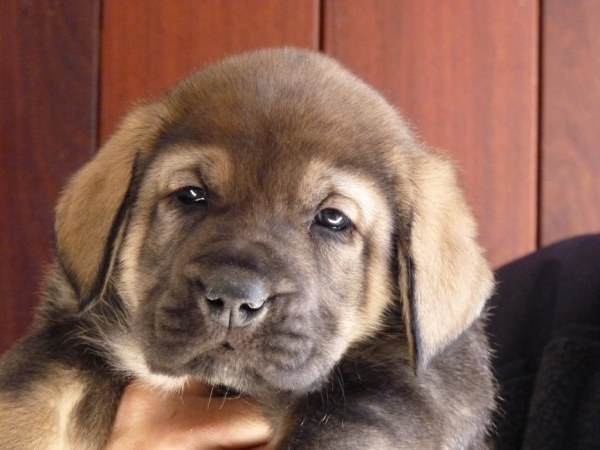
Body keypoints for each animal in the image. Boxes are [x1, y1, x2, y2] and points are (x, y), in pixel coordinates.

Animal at [0, 47, 494, 448]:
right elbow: (28, 400)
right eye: (191, 195)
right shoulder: (67, 334)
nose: (234, 299)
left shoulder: (398, 393)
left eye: (333, 219)